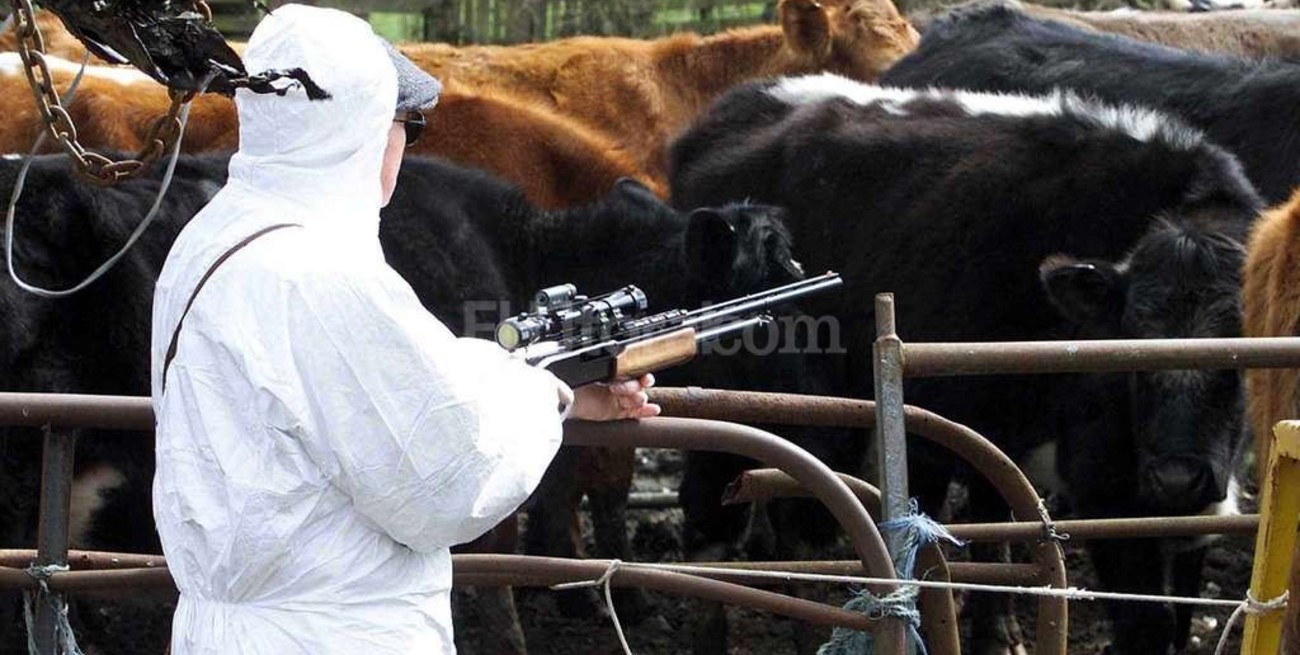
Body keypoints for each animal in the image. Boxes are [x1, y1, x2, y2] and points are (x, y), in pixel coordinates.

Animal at [669, 74, 1261, 655]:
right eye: (1130, 336)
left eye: (1240, 342)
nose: (1178, 477)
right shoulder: (1106, 487)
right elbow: (1147, 622)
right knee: (719, 525)